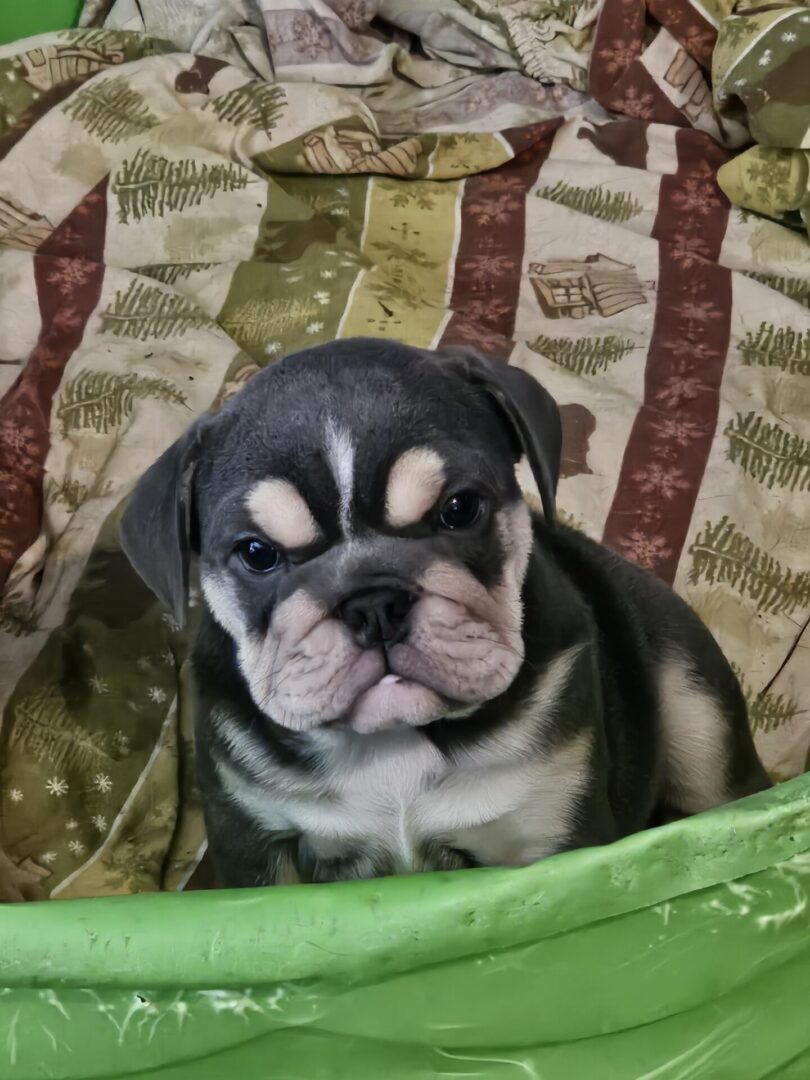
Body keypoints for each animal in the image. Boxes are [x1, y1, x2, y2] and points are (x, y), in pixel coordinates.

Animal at [118, 336, 768, 885]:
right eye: (257, 554)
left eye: (459, 509)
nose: (373, 602)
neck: (395, 742)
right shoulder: (257, 844)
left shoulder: (554, 829)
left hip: (694, 706)